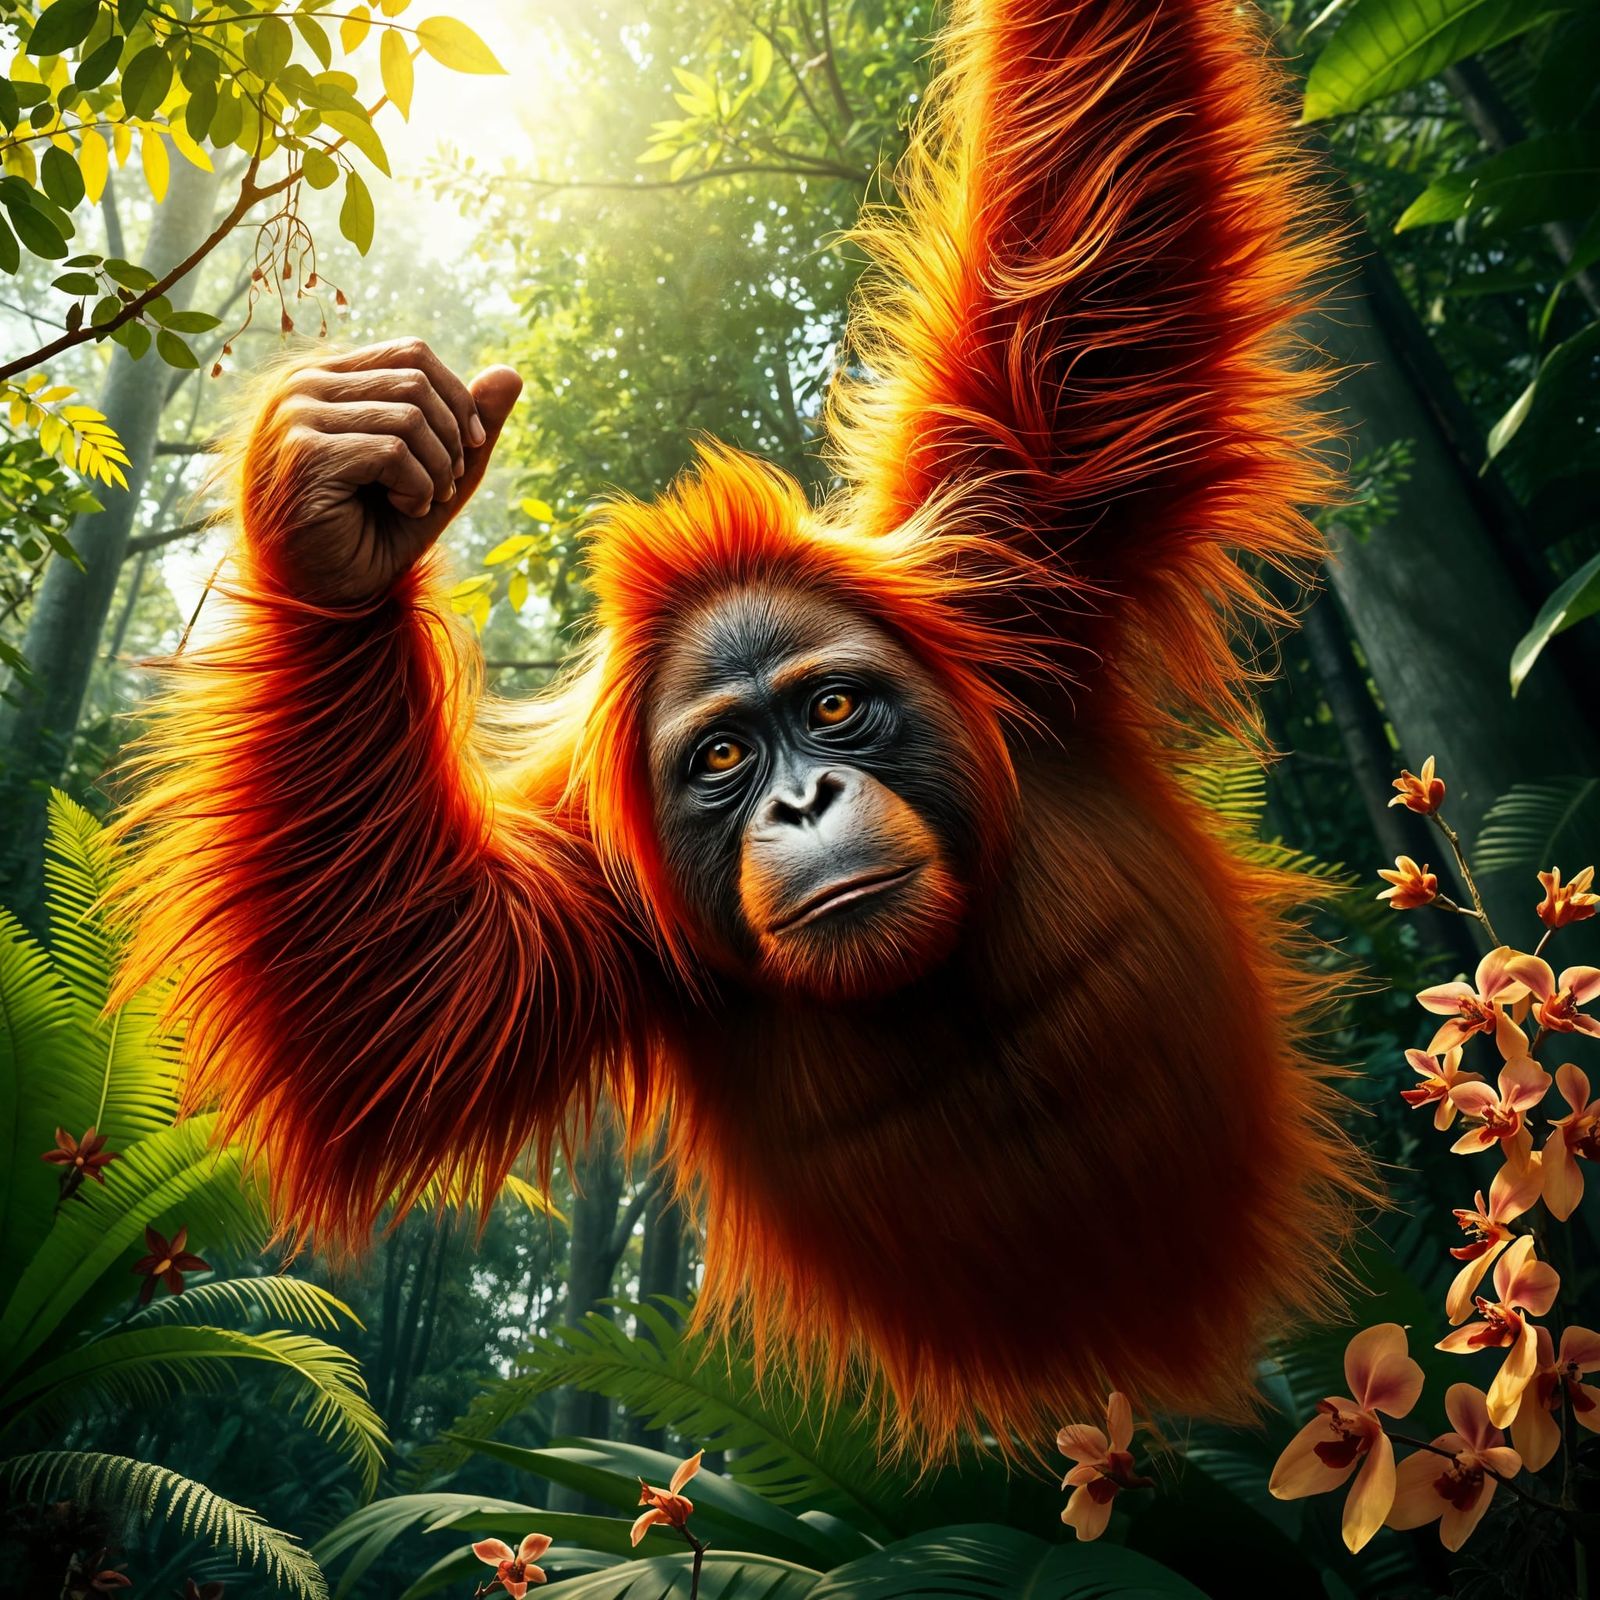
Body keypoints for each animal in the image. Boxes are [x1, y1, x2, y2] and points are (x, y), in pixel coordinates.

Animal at [110, 0, 1375, 1460]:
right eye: (722, 759)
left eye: (831, 709)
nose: (803, 802)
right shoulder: (607, 897)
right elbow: (387, 992)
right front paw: (344, 512)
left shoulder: (1016, 564)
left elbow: (1086, 286)